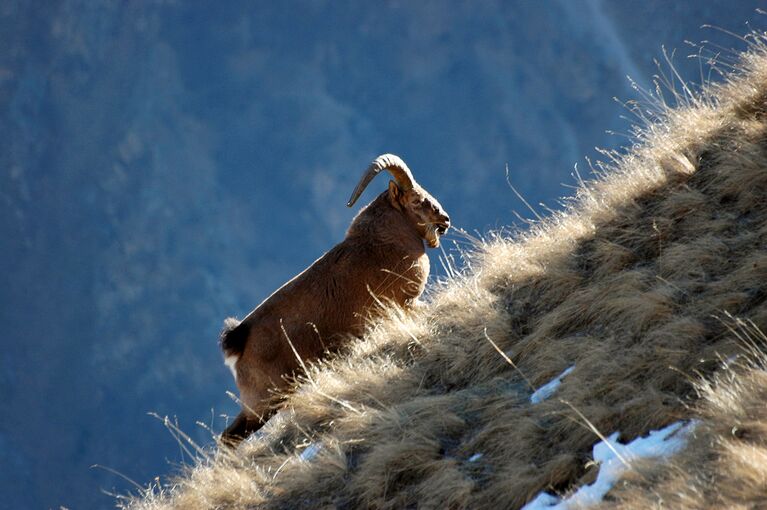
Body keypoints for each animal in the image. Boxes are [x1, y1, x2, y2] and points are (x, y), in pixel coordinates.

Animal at [219, 153, 450, 444]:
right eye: (417, 200)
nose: (445, 220)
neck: (386, 241)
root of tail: (237, 339)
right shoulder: (405, 303)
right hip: (265, 401)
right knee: (230, 437)